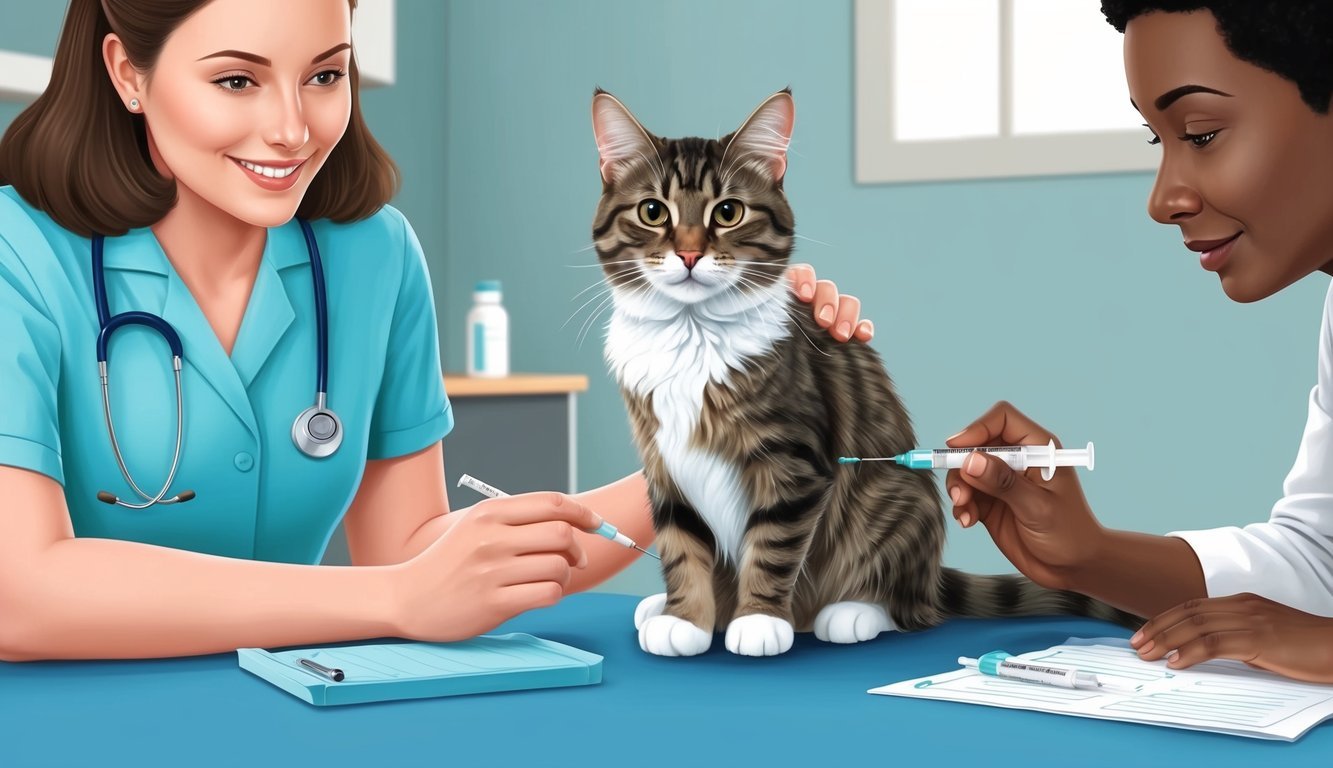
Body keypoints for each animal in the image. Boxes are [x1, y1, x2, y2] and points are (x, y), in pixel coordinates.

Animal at [589, 88, 1141, 653]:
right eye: (653, 211)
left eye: (728, 212)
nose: (689, 254)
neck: (690, 334)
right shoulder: (665, 467)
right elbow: (682, 548)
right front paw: (686, 618)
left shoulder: (794, 464)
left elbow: (771, 546)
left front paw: (759, 620)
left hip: (896, 502)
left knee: (904, 602)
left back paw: (851, 612)